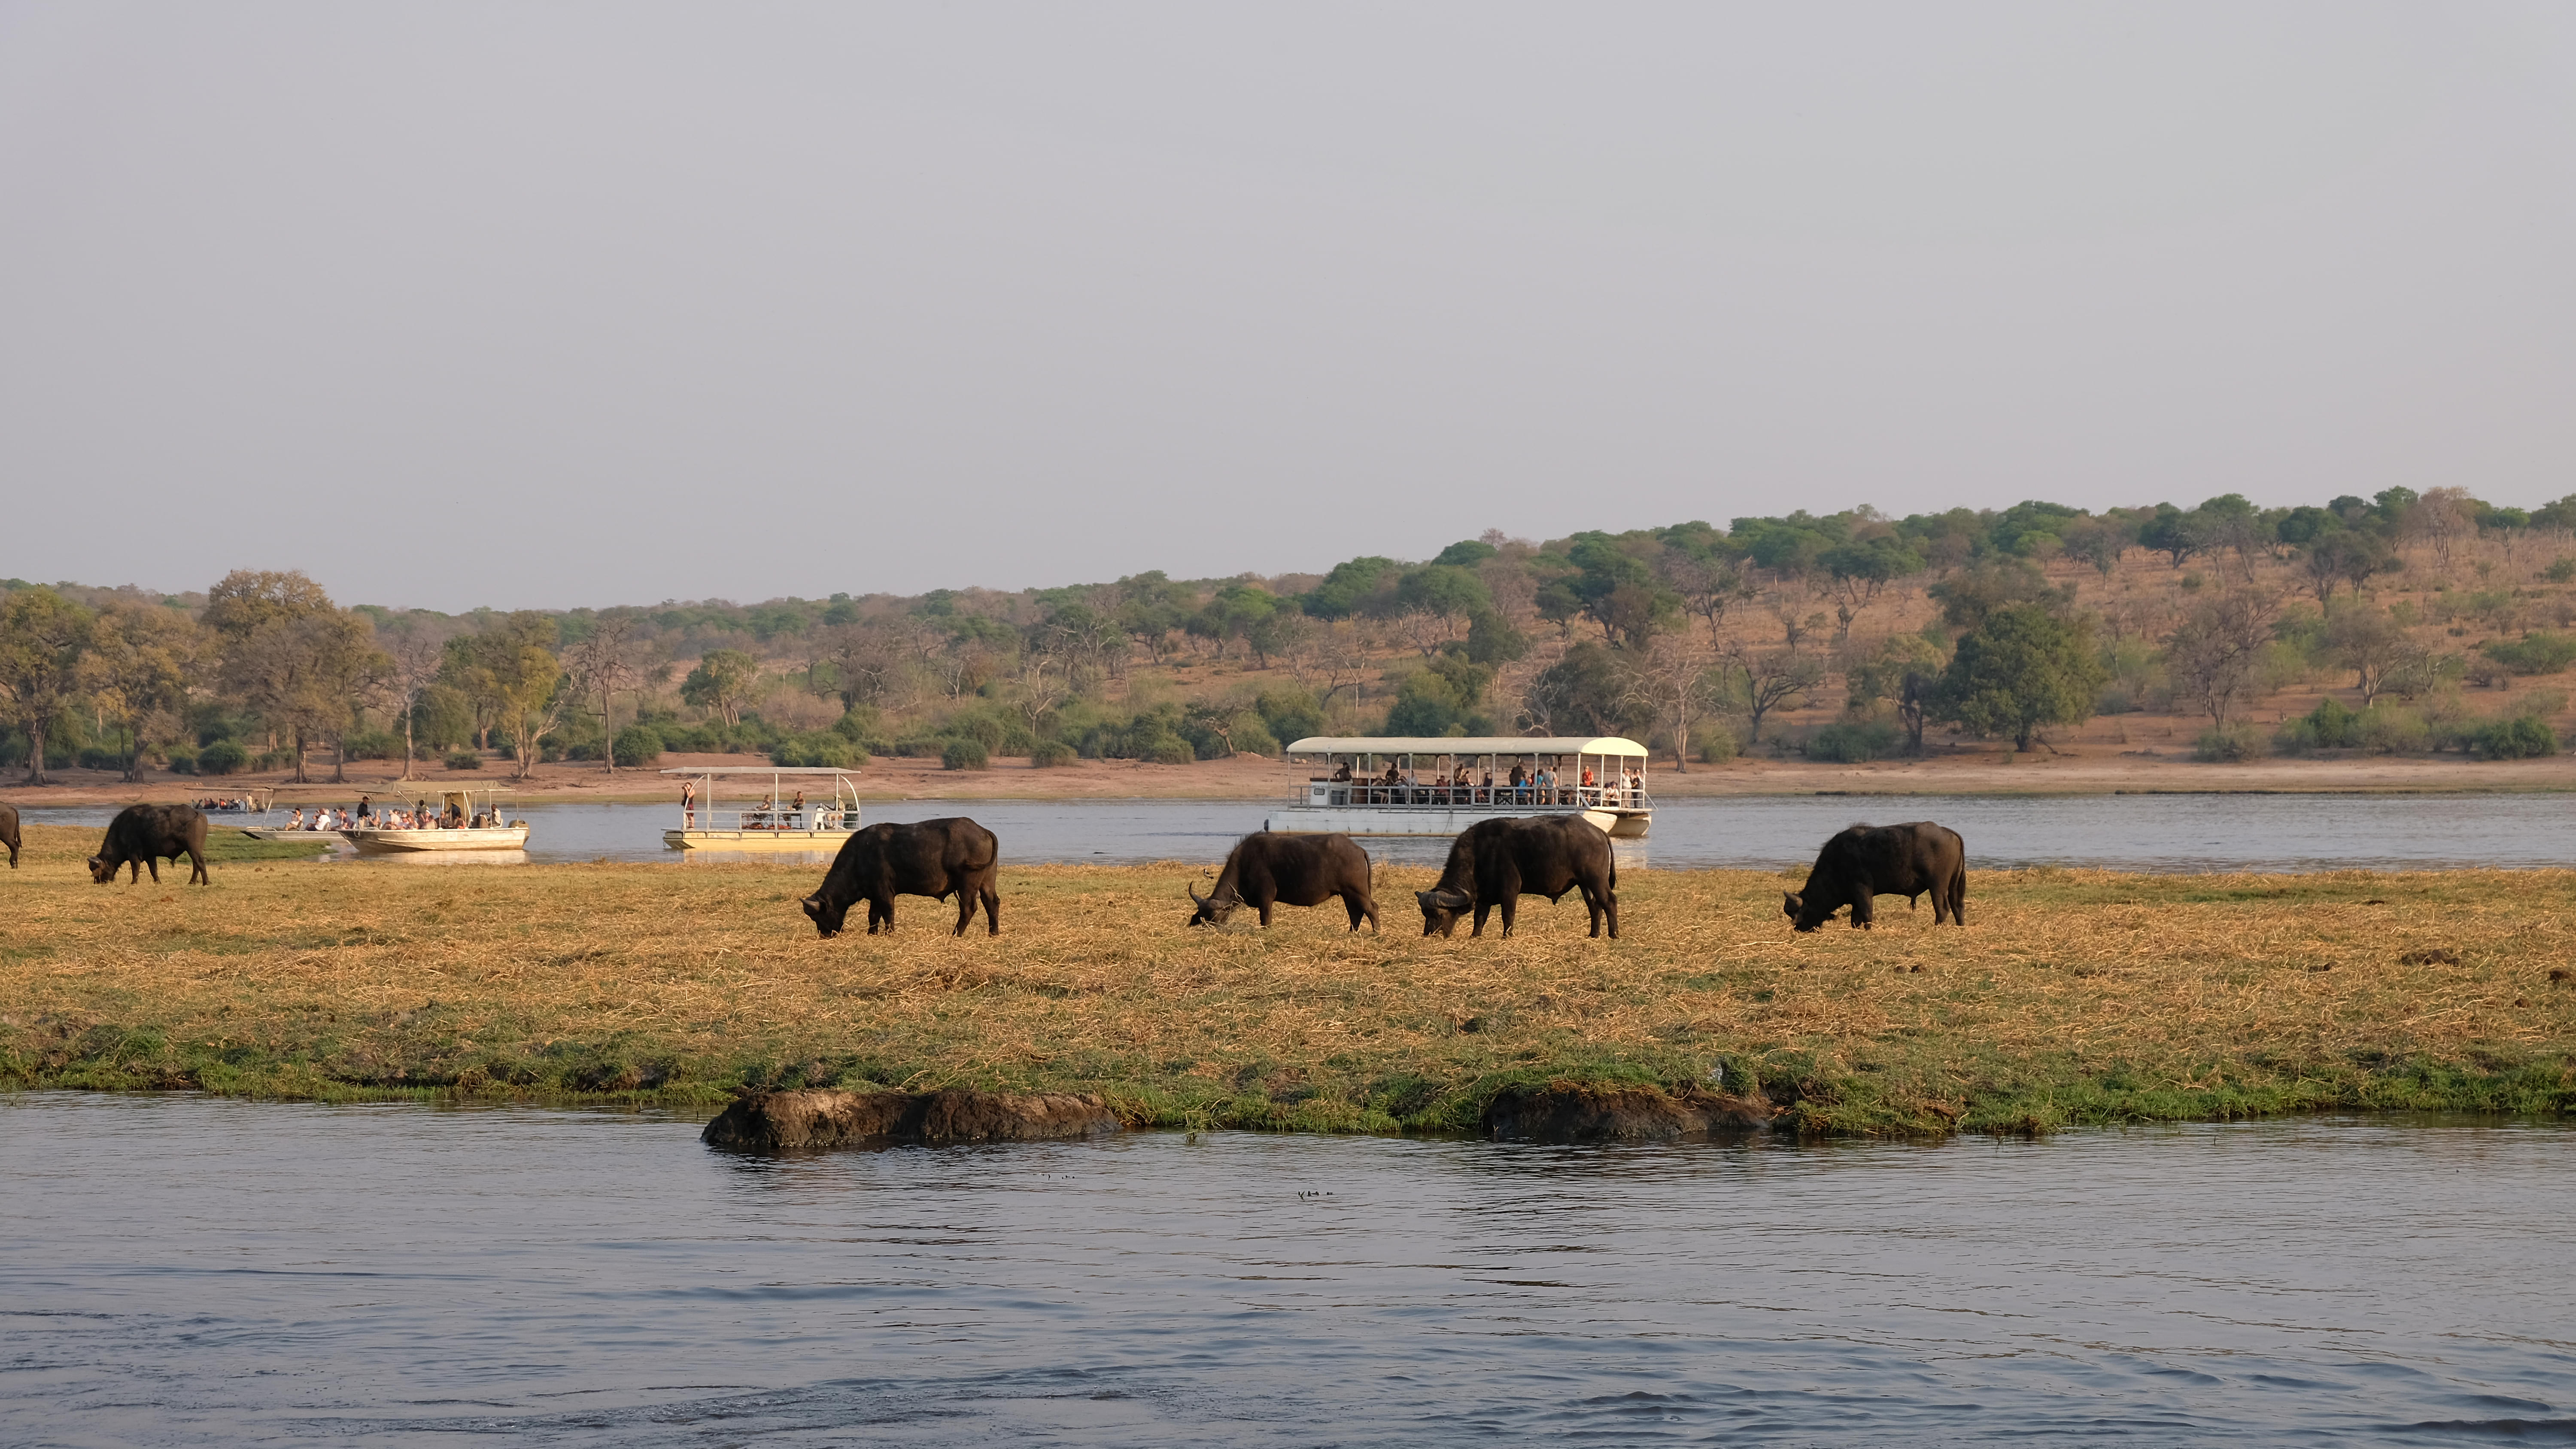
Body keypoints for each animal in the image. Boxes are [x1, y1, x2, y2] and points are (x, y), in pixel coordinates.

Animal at [89, 794, 211, 887]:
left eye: (98, 870)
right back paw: (192, 882)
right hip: (196, 848)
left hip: (192, 848)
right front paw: (158, 882)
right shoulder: (150, 856)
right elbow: (154, 870)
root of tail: (196, 813)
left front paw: (133, 883)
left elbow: (135, 870)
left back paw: (206, 883)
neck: (122, 830)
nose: (98, 883)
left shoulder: (134, 855)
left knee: (200, 862)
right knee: (196, 864)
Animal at [799, 814, 999, 938]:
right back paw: (994, 932)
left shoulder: (884, 891)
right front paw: (872, 933)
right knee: (992, 902)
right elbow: (873, 915)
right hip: (987, 881)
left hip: (968, 883)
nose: (825, 935)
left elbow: (888, 912)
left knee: (969, 908)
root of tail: (982, 830)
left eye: (818, 916)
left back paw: (956, 933)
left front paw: (890, 933)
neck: (860, 856)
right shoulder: (875, 894)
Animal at [1190, 830, 1381, 928]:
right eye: (1202, 917)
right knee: (1355, 913)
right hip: (1348, 894)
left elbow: (1266, 920)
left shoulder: (1266, 898)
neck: (1245, 863)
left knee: (1371, 908)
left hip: (1358, 891)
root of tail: (1357, 849)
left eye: (1215, 917)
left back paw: (1376, 932)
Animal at [1422, 814, 1618, 938]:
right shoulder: (1484, 897)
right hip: (1585, 884)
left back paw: (1614, 934)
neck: (1480, 853)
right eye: (1425, 914)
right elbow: (1479, 918)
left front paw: (1507, 936)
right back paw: (1593, 935)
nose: (1428, 934)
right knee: (1595, 906)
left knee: (1609, 902)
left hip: (1596, 880)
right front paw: (1474, 936)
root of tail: (1598, 831)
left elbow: (1508, 915)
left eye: (1439, 915)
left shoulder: (1510, 890)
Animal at [1783, 820, 1958, 928]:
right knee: (1958, 906)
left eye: (1801, 912)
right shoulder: (1855, 899)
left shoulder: (1863, 890)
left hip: (1937, 887)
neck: (1837, 862)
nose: (1799, 929)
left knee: (1942, 908)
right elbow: (1855, 919)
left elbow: (1867, 914)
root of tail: (1946, 831)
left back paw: (1938, 926)